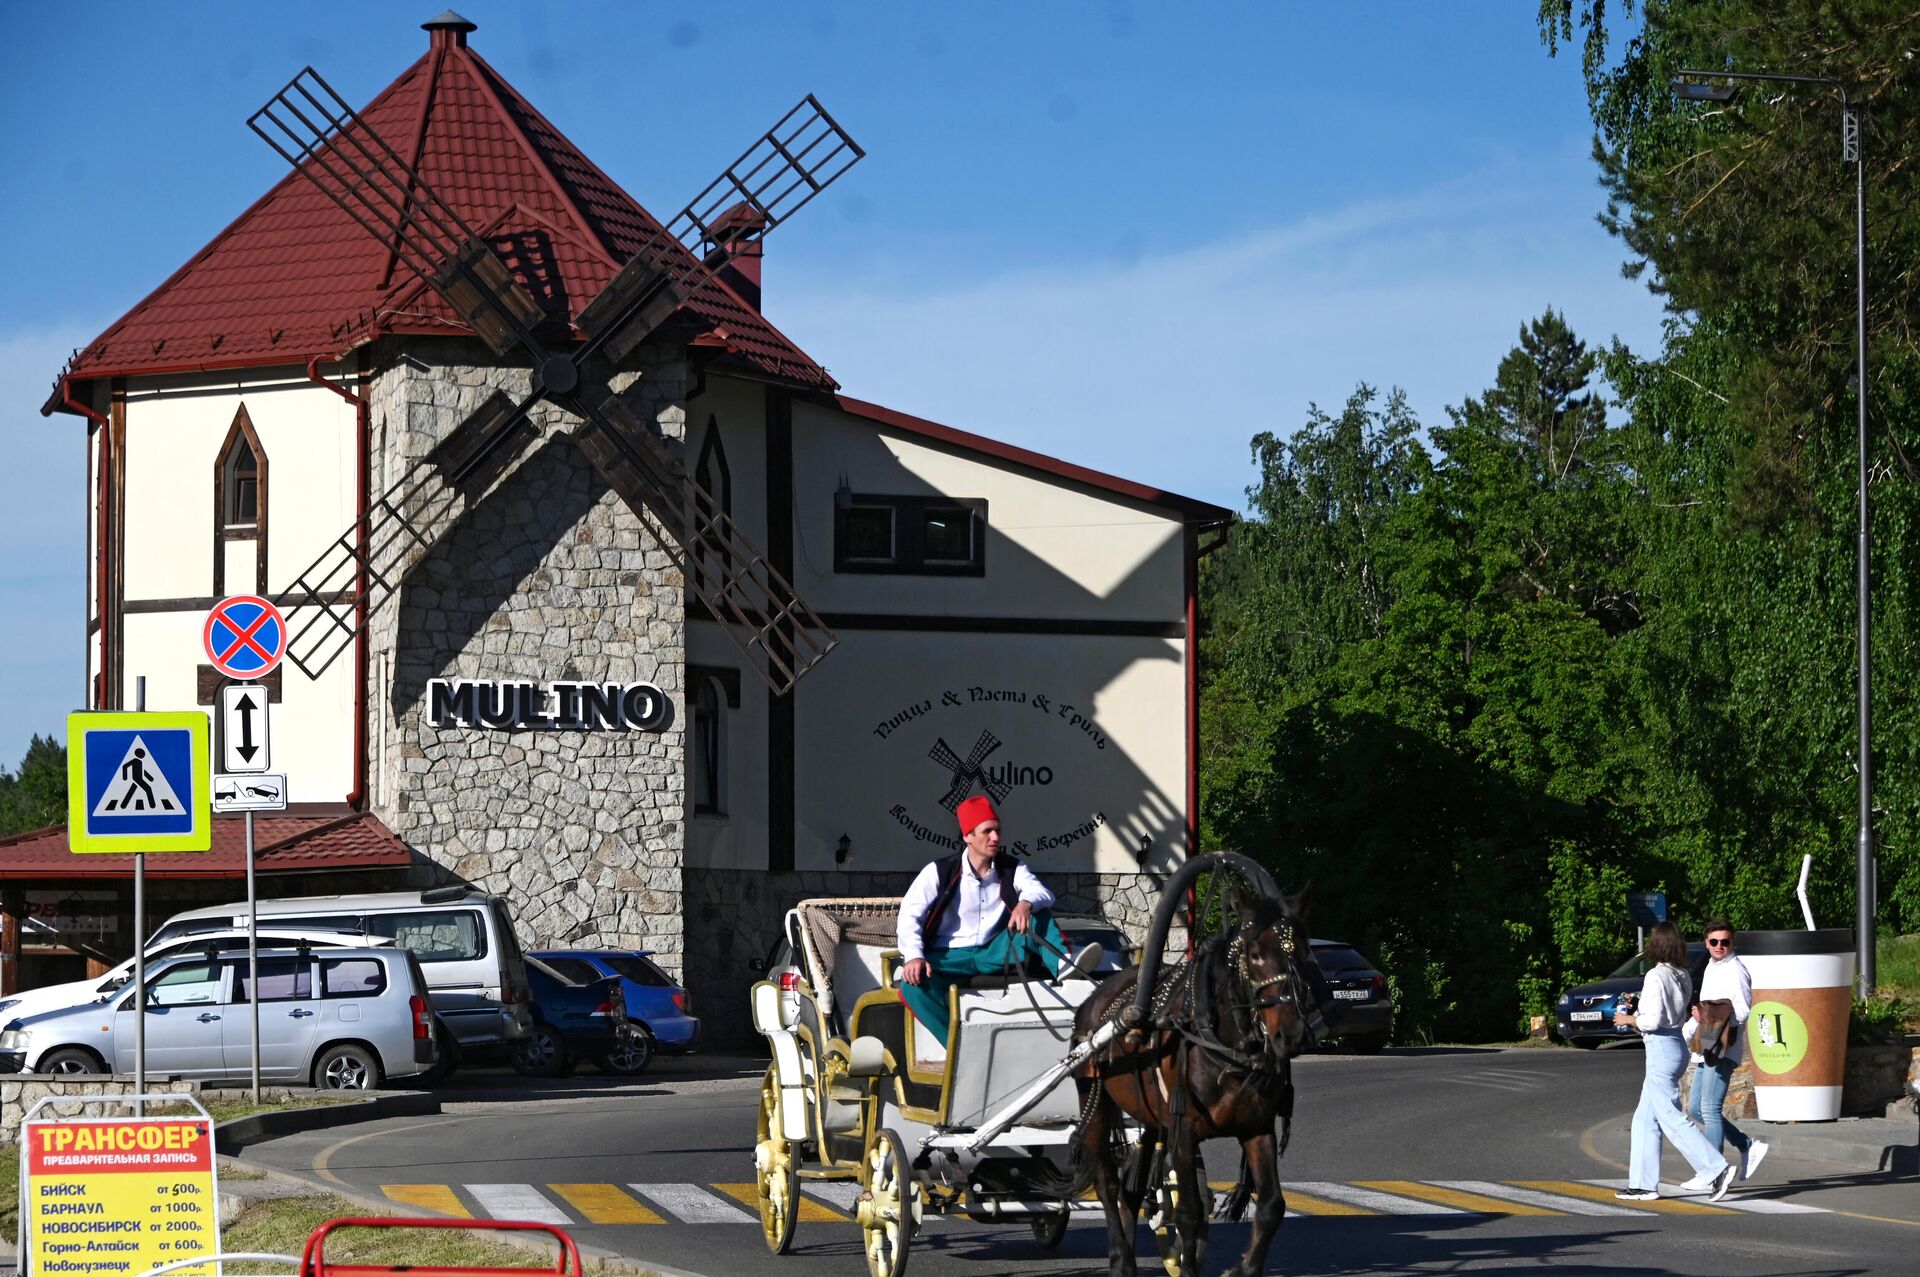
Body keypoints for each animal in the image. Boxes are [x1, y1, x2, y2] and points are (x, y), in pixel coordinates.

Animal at [1067, 887, 1320, 1275]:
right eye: (1255, 954)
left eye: (1304, 952)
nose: (1291, 1035)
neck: (1224, 1047)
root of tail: (1095, 998)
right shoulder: (1184, 1132)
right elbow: (1188, 1213)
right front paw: (1187, 1266)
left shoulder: (1257, 1128)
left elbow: (1272, 1205)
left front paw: (1244, 1268)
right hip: (1095, 1106)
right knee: (1107, 1183)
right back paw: (1120, 1259)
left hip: (1151, 1115)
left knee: (1131, 1190)